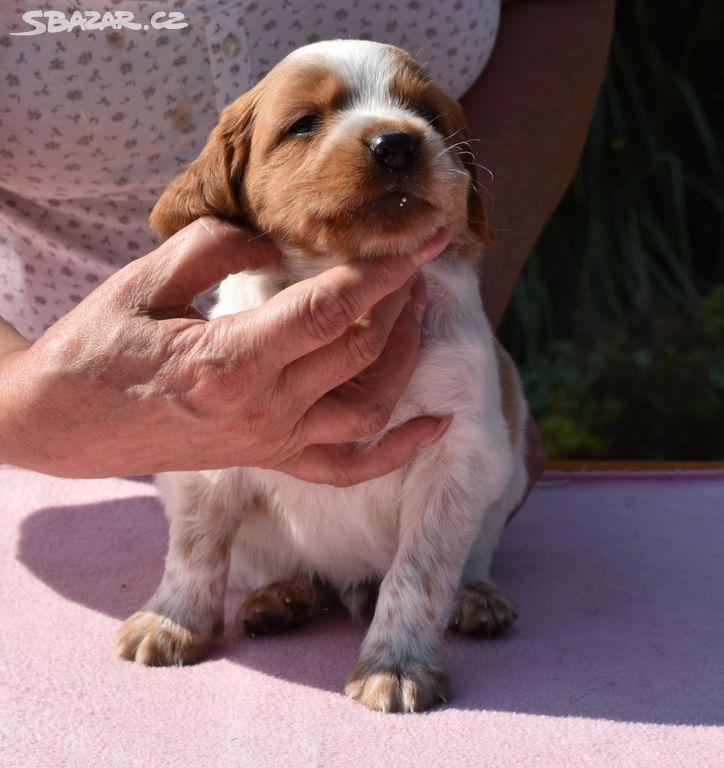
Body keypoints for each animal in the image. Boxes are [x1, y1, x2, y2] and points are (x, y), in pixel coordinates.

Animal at [117, 40, 528, 712]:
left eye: (429, 116)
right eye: (304, 124)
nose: (397, 142)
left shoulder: (457, 456)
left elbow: (418, 575)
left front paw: (396, 666)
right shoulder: (212, 451)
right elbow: (195, 548)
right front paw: (171, 621)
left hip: (502, 488)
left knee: (463, 563)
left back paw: (475, 597)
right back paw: (279, 598)